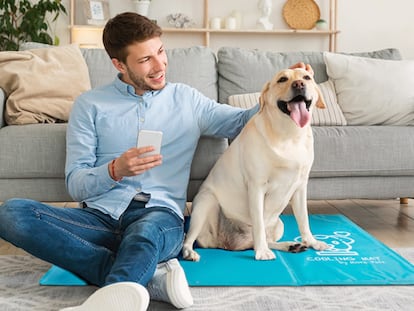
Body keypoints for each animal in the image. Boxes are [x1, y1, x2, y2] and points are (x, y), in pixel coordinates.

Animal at [184, 67, 330, 260]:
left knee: (263, 240)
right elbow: (258, 224)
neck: (289, 135)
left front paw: (312, 242)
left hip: (279, 224)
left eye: (306, 77)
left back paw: (290, 245)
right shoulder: (256, 186)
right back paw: (189, 252)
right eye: (282, 79)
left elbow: (304, 220)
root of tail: (227, 244)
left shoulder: (300, 187)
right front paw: (262, 253)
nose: (299, 84)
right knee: (189, 238)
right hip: (205, 203)